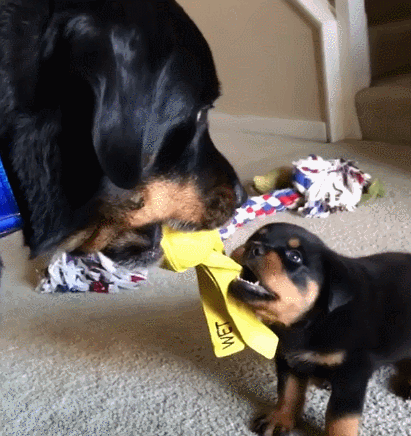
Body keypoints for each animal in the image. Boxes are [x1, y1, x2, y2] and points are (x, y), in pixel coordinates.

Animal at [230, 223, 411, 436]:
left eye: (295, 256)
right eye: (255, 237)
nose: (252, 247)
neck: (314, 320)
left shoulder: (353, 371)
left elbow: (340, 417)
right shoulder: (288, 358)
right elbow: (289, 391)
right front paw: (280, 418)